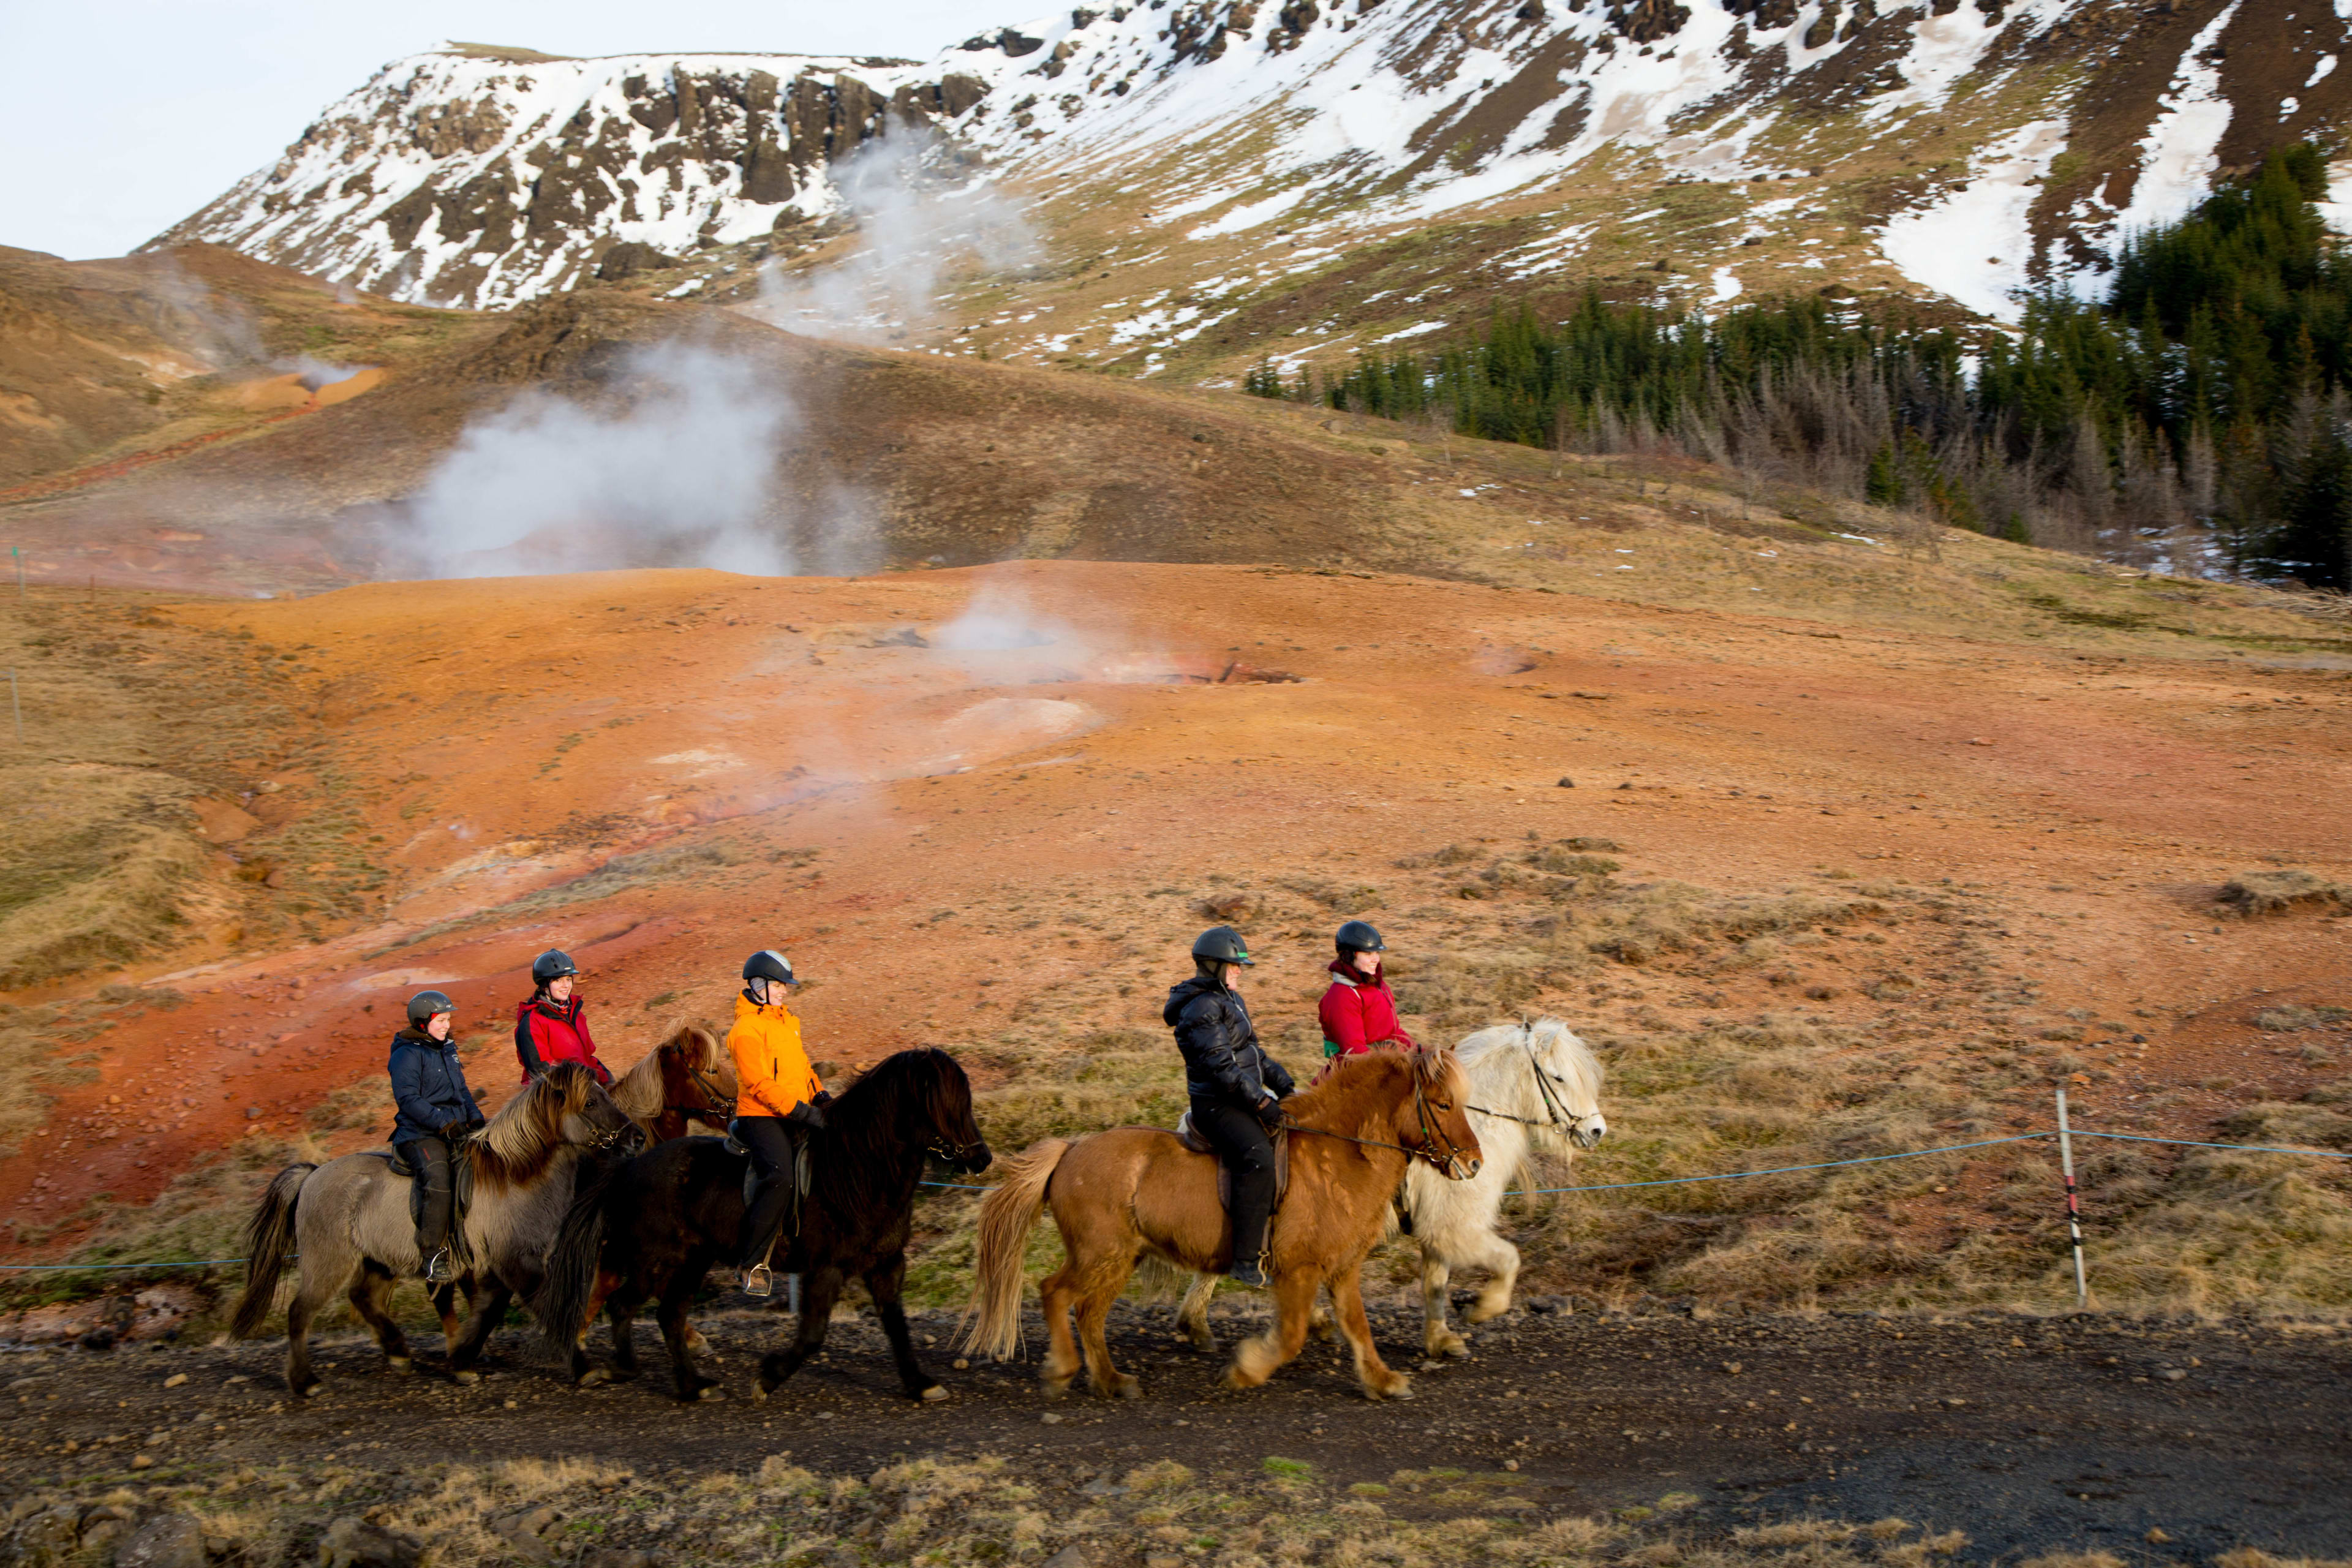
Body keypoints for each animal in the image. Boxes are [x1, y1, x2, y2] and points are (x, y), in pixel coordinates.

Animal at [538, 1048, 987, 1401]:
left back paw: (693, 1386)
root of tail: (630, 1167)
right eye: (941, 1104)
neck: (855, 1171)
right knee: (623, 1304)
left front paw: (920, 1384)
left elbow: (897, 1326)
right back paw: (629, 1369)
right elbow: (813, 1334)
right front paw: (767, 1378)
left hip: (691, 1263)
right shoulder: (826, 1269)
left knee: (667, 1316)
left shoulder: (886, 1265)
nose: (981, 1159)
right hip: (657, 1262)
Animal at [959, 1048, 1477, 1401]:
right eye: (1442, 1104)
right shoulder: (1300, 1270)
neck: (1339, 1152)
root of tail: (1070, 1151)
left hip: (1120, 1259)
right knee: (1055, 1293)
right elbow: (1291, 1336)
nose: (1473, 1163)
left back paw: (1111, 1380)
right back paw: (1063, 1370)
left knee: (1089, 1313)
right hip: (1098, 1254)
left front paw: (1382, 1381)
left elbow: (1357, 1325)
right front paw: (1245, 1369)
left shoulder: (1341, 1268)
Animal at [1185, 1020, 1608, 1363]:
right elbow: (1509, 1260)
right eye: (1558, 1078)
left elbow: (1435, 1284)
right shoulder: (1455, 1229)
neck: (1471, 1123)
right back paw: (1199, 1323)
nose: (1596, 1131)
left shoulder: (1436, 1232)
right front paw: (1481, 1307)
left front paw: (1441, 1339)